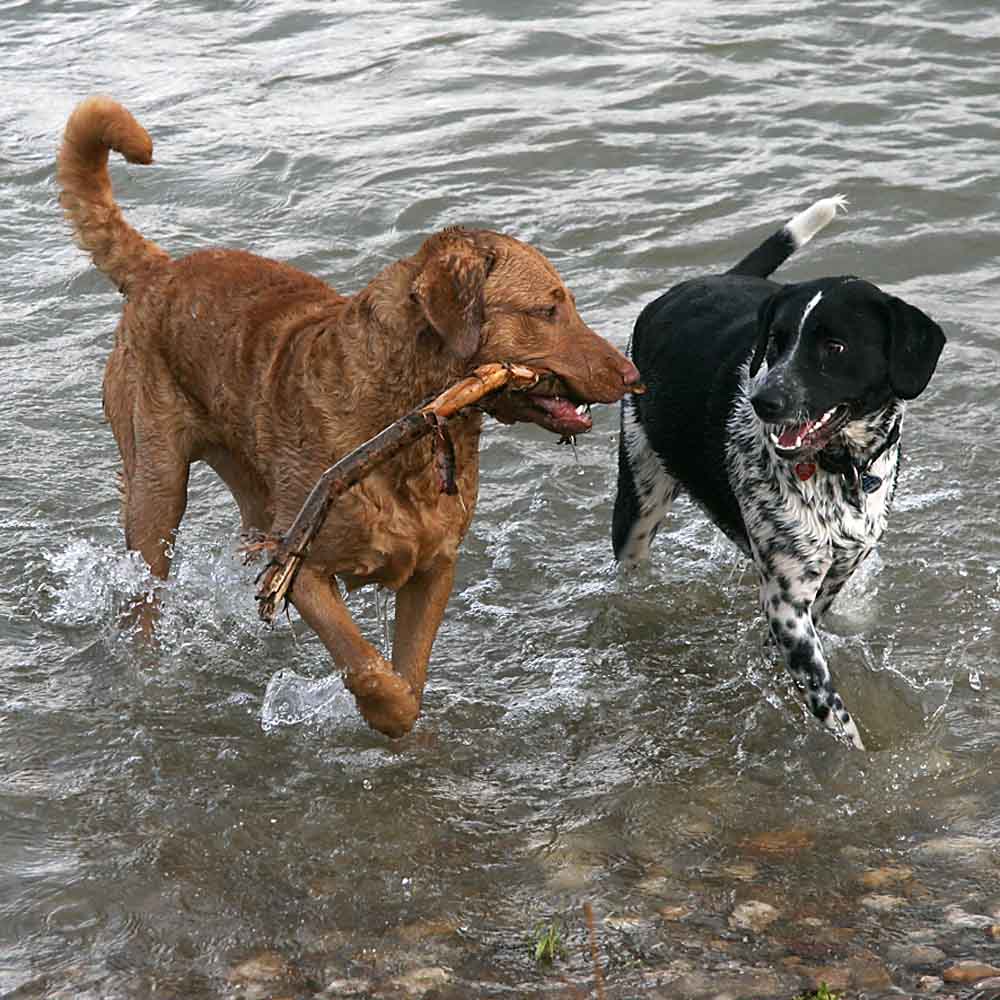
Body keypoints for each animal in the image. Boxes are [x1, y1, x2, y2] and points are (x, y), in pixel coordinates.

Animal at [58, 97, 636, 740]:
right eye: (548, 310)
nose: (633, 374)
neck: (410, 421)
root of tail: (158, 271)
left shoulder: (436, 566)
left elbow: (412, 669)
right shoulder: (303, 566)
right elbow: (366, 665)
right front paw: (383, 712)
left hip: (248, 487)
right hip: (156, 486)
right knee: (145, 590)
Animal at [612, 195, 948, 748]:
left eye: (834, 346)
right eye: (776, 341)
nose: (763, 400)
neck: (840, 472)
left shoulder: (832, 577)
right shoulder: (786, 604)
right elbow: (834, 712)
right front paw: (858, 760)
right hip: (638, 496)